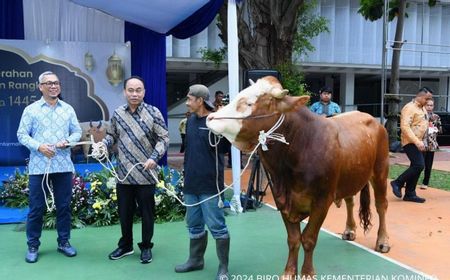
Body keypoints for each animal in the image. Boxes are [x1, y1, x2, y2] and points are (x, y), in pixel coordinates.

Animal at [206, 76, 388, 278]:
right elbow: (293, 239)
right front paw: (288, 272)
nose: (210, 118)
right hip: (350, 176)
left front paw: (307, 273)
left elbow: (308, 238)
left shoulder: (322, 200)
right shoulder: (282, 200)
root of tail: (370, 118)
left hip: (380, 171)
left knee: (381, 205)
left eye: (249, 103)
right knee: (350, 200)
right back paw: (349, 230)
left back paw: (382, 241)